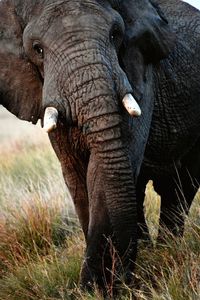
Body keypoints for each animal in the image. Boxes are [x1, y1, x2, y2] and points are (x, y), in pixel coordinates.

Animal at [1, 0, 200, 292]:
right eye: (38, 49)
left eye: (115, 34)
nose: (124, 278)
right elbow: (76, 175)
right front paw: (98, 288)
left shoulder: (136, 72)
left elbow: (105, 167)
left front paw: (97, 288)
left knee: (179, 187)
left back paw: (165, 253)